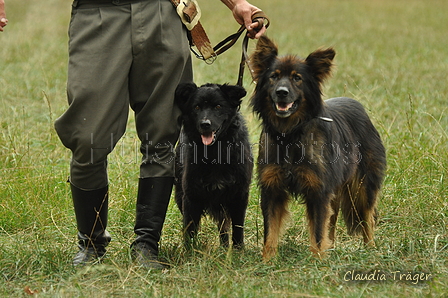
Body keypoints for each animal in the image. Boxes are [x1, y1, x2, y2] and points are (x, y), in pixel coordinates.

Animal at [174, 82, 252, 248]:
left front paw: (238, 250)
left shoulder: (240, 194)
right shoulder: (190, 195)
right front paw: (190, 251)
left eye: (218, 106)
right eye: (197, 107)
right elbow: (189, 228)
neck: (215, 153)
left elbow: (238, 227)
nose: (205, 124)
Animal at [250, 35, 386, 260]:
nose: (281, 93)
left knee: (367, 218)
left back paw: (371, 249)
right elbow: (271, 231)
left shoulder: (318, 190)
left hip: (363, 186)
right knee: (333, 219)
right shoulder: (272, 188)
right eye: (273, 77)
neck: (290, 135)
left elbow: (318, 232)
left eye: (297, 78)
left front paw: (317, 260)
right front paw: (267, 260)